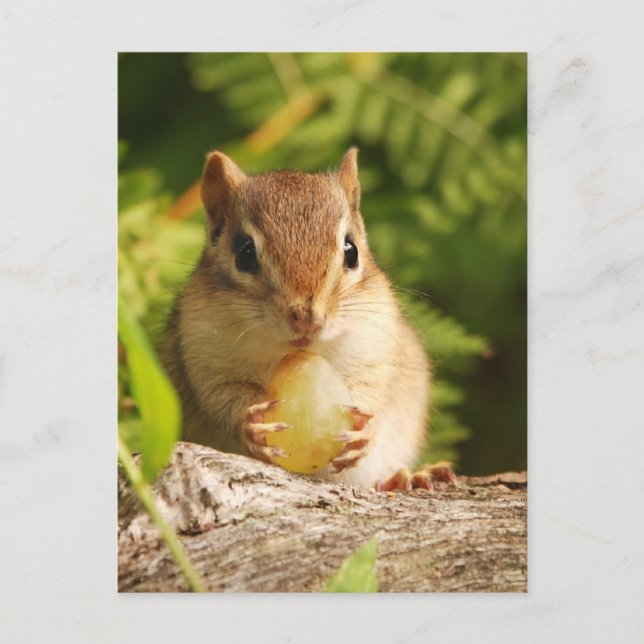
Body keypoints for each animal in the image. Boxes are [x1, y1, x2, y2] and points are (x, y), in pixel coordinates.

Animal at [162, 148, 453, 490]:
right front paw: (251, 424)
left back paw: (406, 477)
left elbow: (373, 391)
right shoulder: (205, 359)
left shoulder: (376, 350)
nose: (307, 319)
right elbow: (221, 399)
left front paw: (364, 432)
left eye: (351, 251)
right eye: (244, 254)